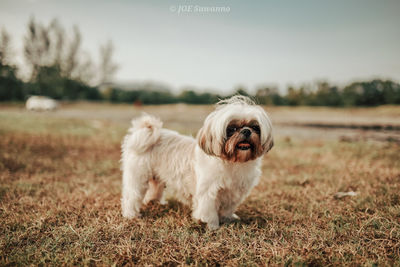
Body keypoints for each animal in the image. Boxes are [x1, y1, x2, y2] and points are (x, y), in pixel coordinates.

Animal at [120, 96, 274, 230]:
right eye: (231, 129)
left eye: (255, 128)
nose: (246, 131)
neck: (233, 162)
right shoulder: (209, 193)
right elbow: (209, 211)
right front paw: (213, 226)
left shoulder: (234, 193)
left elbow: (227, 209)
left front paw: (228, 218)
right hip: (138, 178)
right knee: (131, 197)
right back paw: (131, 215)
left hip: (155, 176)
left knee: (154, 188)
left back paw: (154, 202)